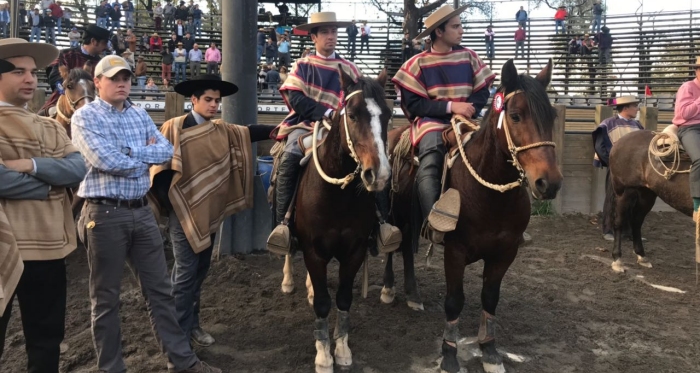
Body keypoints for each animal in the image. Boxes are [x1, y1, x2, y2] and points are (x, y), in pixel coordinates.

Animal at [386, 58, 560, 372]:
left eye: (551, 116)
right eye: (515, 116)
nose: (548, 183)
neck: (490, 195)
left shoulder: (505, 253)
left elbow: (490, 298)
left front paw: (489, 350)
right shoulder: (454, 252)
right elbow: (455, 300)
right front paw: (449, 353)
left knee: (405, 248)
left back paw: (413, 295)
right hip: (394, 213)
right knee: (392, 247)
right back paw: (388, 288)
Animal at [608, 129, 692, 272]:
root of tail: (621, 140)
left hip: (646, 195)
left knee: (636, 222)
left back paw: (642, 256)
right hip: (625, 192)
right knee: (619, 222)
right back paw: (618, 260)